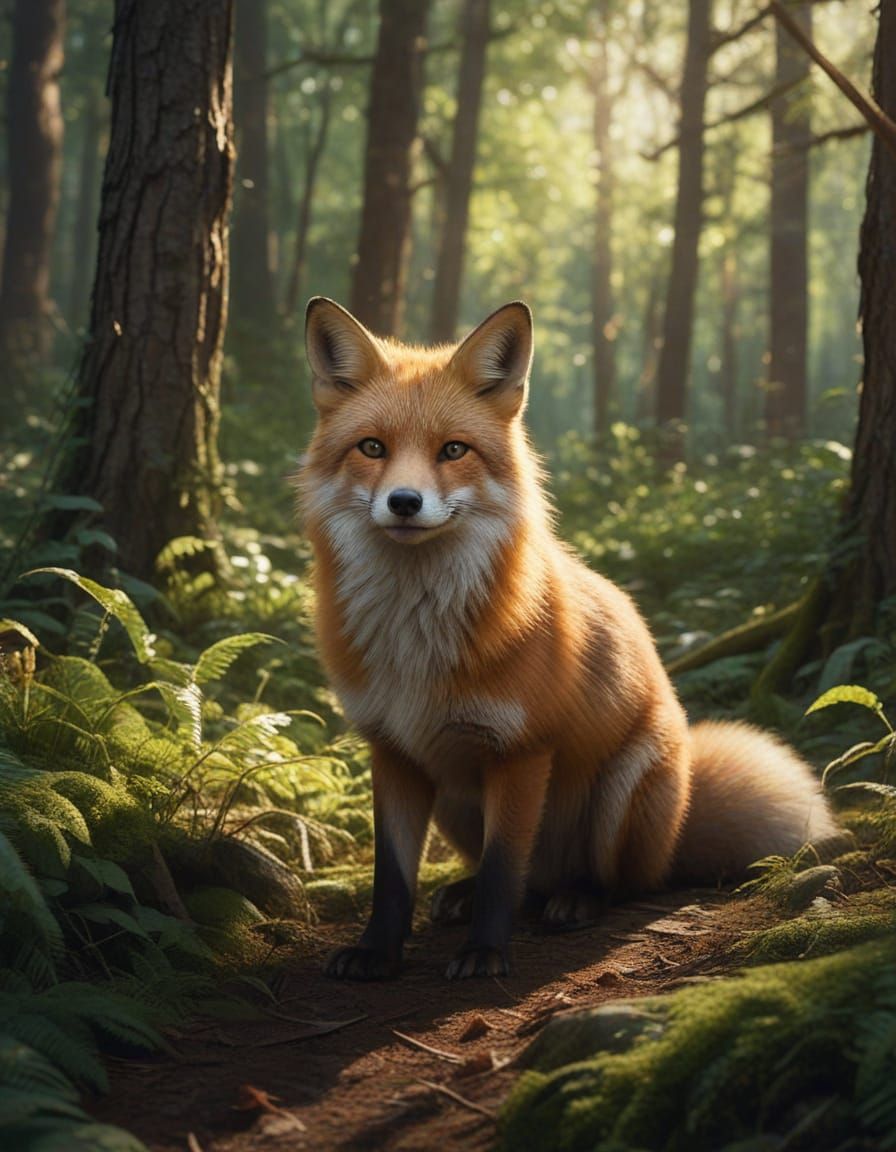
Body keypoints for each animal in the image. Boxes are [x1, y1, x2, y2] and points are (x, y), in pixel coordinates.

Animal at [298, 296, 837, 981]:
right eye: (372, 447)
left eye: (453, 450)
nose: (404, 501)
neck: (416, 641)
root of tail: (681, 812)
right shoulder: (393, 750)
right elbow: (391, 876)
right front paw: (377, 951)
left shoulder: (522, 751)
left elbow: (504, 868)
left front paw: (484, 955)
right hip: (453, 797)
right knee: (530, 881)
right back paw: (468, 894)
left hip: (620, 792)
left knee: (619, 881)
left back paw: (578, 899)